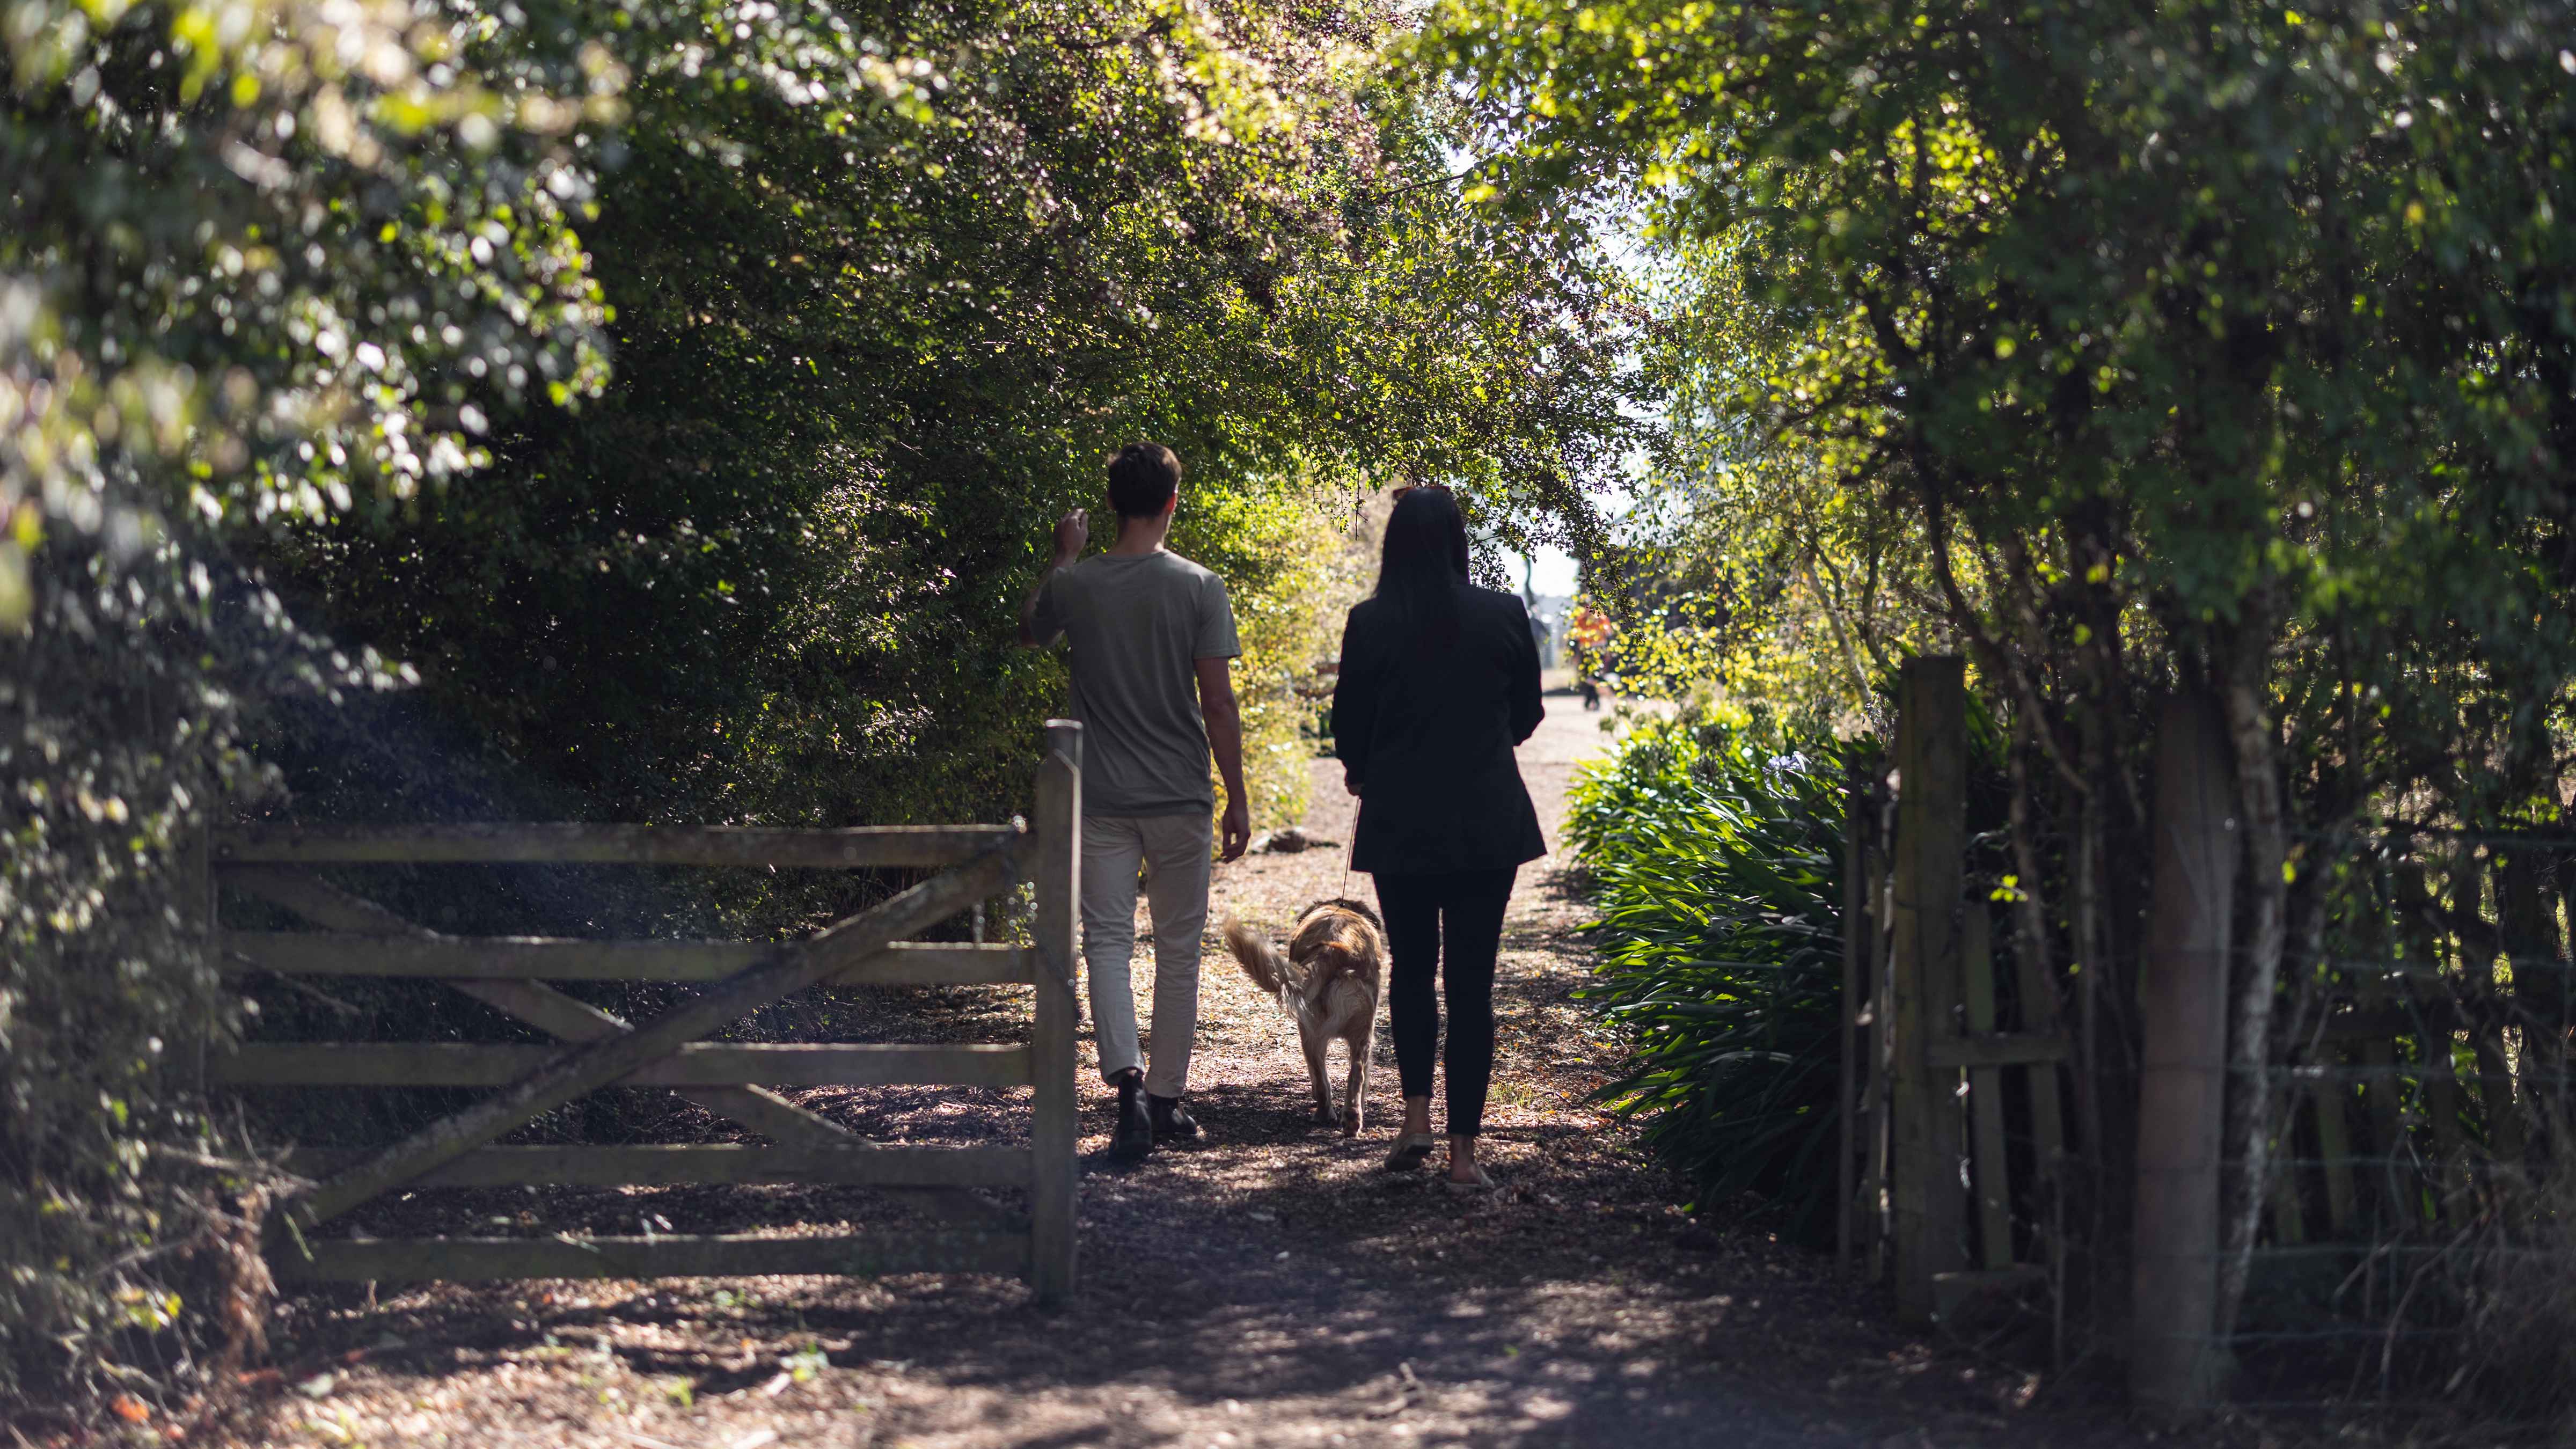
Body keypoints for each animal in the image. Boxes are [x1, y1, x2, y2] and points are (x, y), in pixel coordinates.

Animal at [1221, 902, 1391, 1129]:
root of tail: (1331, 950)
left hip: (1310, 1033)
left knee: (1324, 1078)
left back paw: (1332, 1116)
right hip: (1362, 1033)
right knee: (1357, 1073)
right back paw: (1350, 1118)